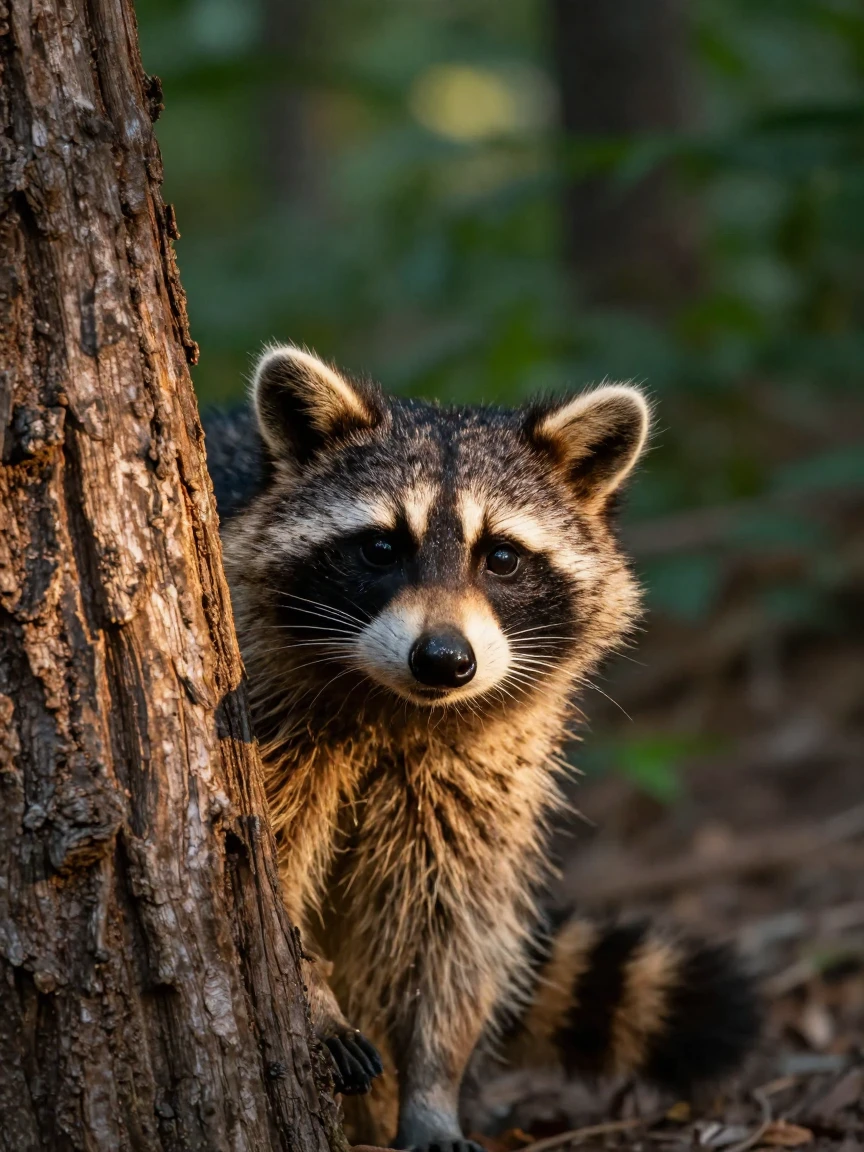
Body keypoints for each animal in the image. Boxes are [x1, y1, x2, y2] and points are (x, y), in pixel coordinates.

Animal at [210, 345, 760, 1152]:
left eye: (501, 557)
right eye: (380, 548)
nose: (443, 661)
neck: (399, 710)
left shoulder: (483, 769)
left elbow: (451, 930)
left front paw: (434, 1086)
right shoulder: (267, 712)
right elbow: (264, 870)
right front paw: (310, 991)